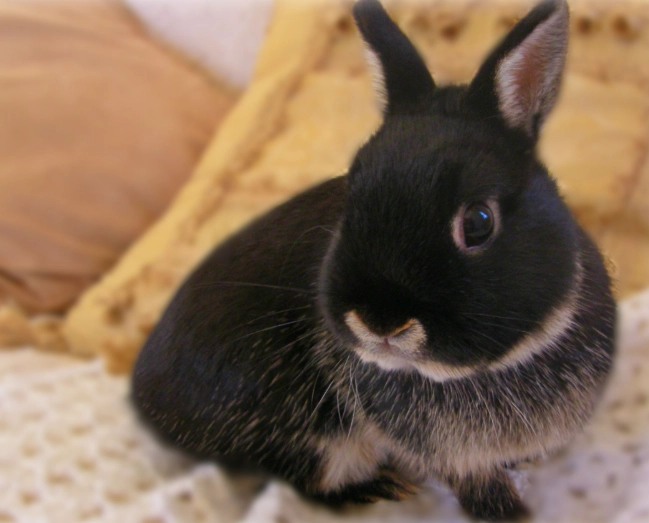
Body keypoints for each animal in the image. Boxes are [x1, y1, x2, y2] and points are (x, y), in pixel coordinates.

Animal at [131, 0, 616, 520]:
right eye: (352, 199)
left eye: (479, 221)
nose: (379, 321)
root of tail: (146, 407)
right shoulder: (448, 455)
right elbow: (475, 484)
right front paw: (512, 511)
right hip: (303, 432)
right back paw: (378, 488)